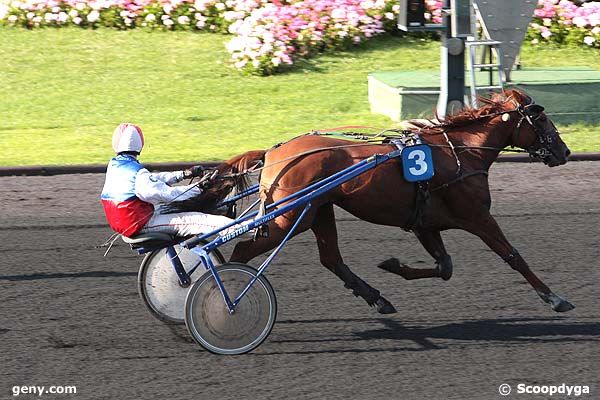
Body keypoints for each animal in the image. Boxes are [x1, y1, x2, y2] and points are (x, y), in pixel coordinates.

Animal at [217, 89, 576, 314]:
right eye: (541, 119)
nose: (565, 151)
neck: (461, 152)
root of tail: (273, 152)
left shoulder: (425, 224)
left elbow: (444, 267)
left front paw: (392, 265)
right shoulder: (477, 217)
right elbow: (513, 256)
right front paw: (555, 298)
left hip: (318, 210)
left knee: (331, 259)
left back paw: (378, 299)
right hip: (289, 217)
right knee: (243, 250)